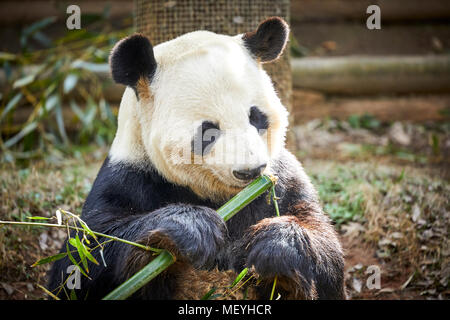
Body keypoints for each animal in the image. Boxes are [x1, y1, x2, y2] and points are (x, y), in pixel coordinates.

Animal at [48, 16, 344, 298]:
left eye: (256, 116)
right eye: (209, 130)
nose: (250, 171)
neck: (222, 196)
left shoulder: (283, 180)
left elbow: (327, 253)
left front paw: (276, 245)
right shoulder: (129, 176)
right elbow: (85, 257)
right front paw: (192, 227)